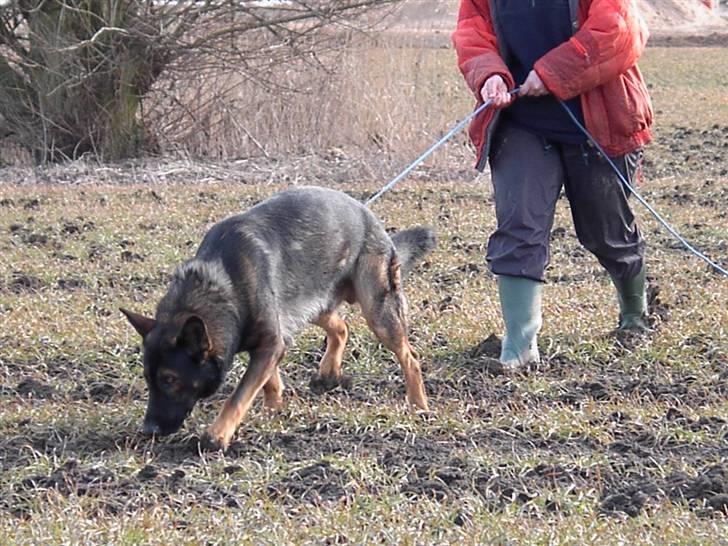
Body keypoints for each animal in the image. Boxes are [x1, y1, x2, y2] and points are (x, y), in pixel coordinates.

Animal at [121, 185, 436, 448]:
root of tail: (371, 218)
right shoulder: (271, 341)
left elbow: (238, 396)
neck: (223, 285)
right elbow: (268, 382)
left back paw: (418, 405)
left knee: (409, 357)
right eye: (147, 378)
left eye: (169, 379)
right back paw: (329, 373)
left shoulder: (270, 342)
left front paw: (217, 436)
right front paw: (272, 411)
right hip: (309, 304)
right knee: (341, 327)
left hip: (376, 311)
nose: (148, 430)